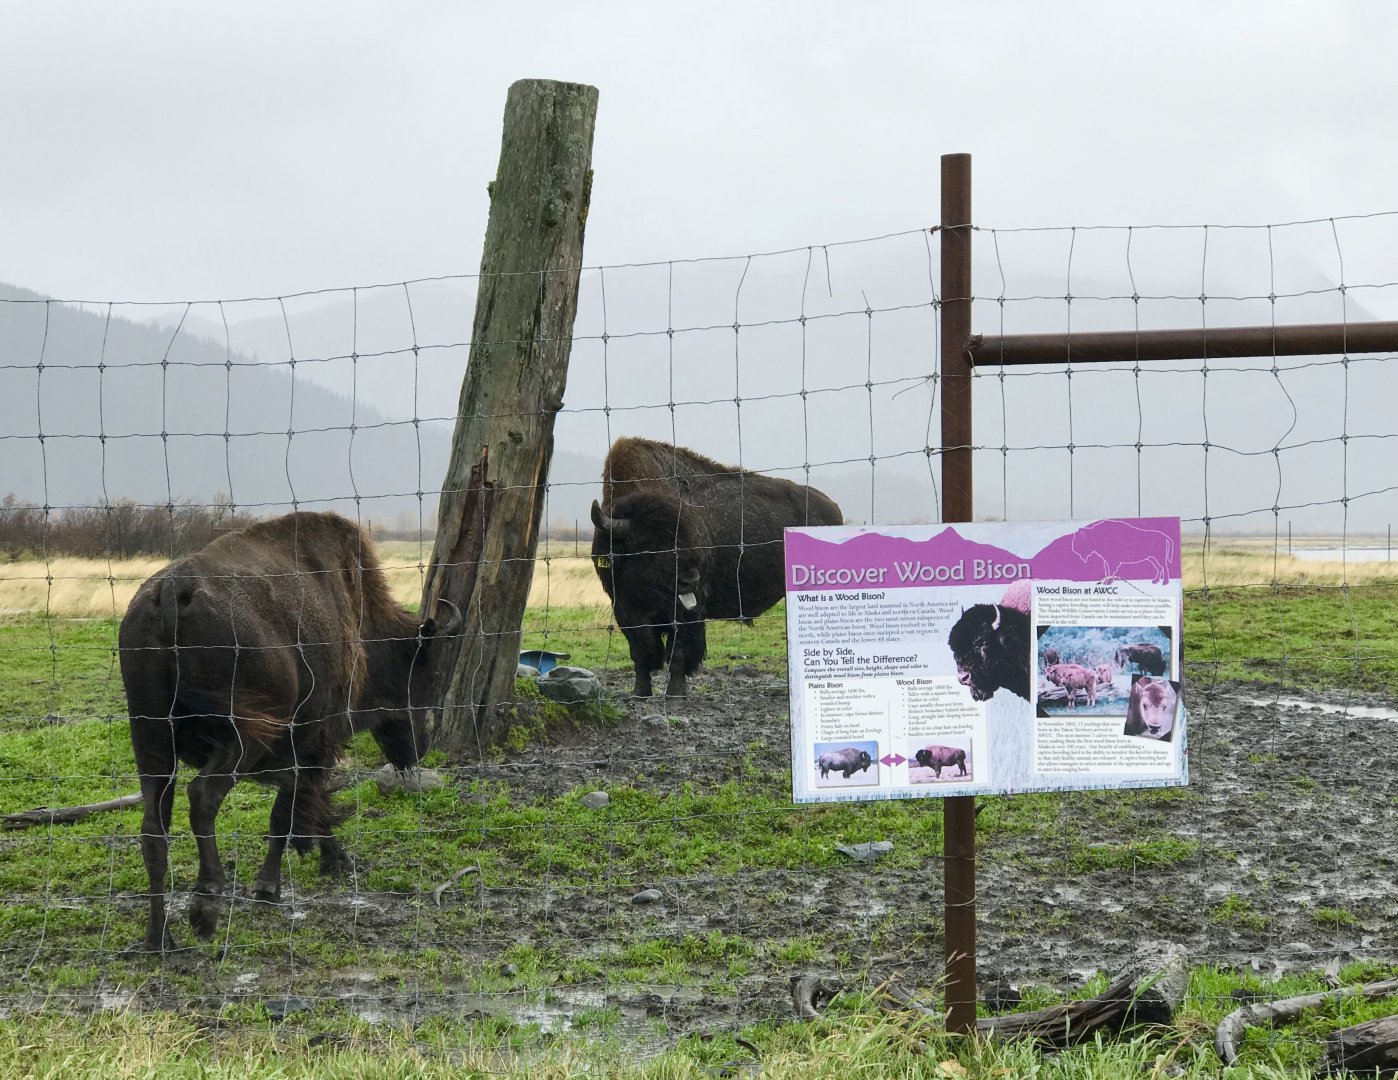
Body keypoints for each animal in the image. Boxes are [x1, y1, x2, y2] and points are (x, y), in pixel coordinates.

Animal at [120, 512, 459, 952]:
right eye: (422, 673)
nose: (419, 748)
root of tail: (173, 591)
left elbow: (302, 804)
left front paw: (328, 859)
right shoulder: (313, 739)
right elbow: (292, 807)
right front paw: (272, 885)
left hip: (151, 741)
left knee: (154, 827)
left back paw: (159, 937)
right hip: (241, 739)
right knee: (203, 797)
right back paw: (205, 907)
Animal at [592, 438, 842, 698]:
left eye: (686, 539)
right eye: (648, 546)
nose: (690, 580)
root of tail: (832, 508)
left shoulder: (688, 612)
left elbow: (678, 653)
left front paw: (675, 694)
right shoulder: (624, 609)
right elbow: (641, 652)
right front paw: (640, 693)